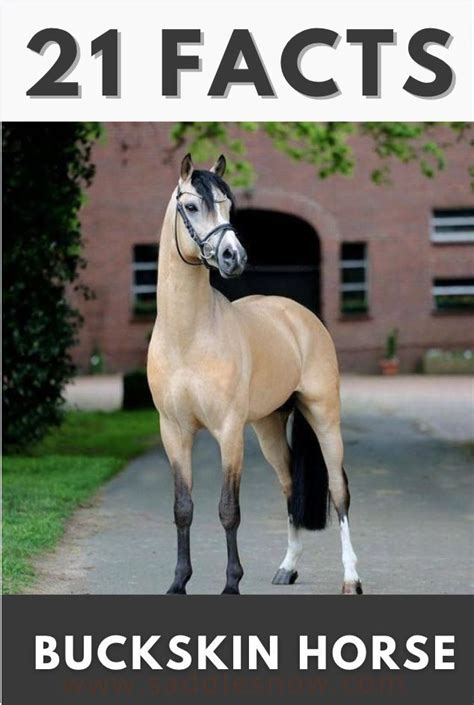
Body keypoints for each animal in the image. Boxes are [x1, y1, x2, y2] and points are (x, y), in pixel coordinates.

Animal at [148, 153, 362, 592]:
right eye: (191, 206)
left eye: (230, 207)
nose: (235, 257)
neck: (187, 336)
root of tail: (298, 315)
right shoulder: (173, 431)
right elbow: (183, 507)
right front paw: (179, 582)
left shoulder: (229, 432)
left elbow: (229, 509)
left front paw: (232, 583)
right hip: (268, 427)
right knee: (289, 485)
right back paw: (287, 568)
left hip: (324, 417)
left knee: (339, 490)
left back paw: (351, 578)